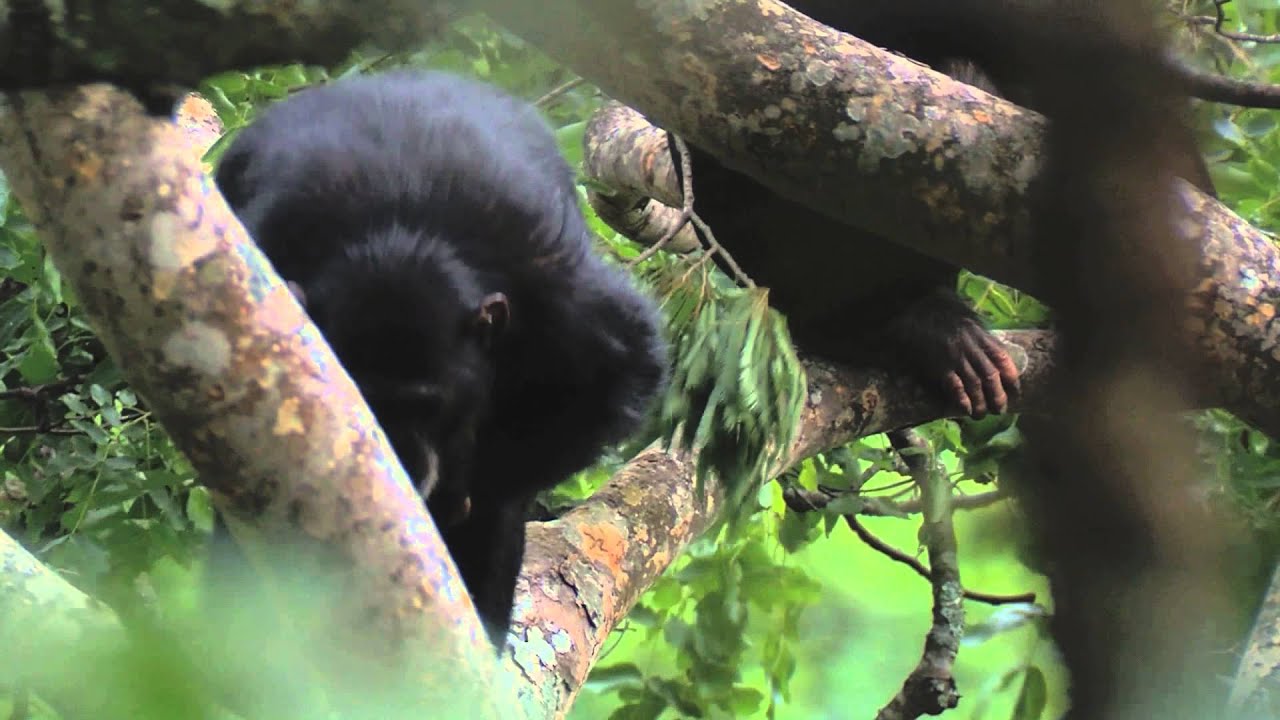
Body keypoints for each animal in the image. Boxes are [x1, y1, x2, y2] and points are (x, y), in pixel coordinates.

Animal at [212, 70, 669, 646]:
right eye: (360, 402)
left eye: (429, 405)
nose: (402, 461)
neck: (398, 229)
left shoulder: (559, 289)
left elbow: (618, 379)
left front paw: (466, 488)